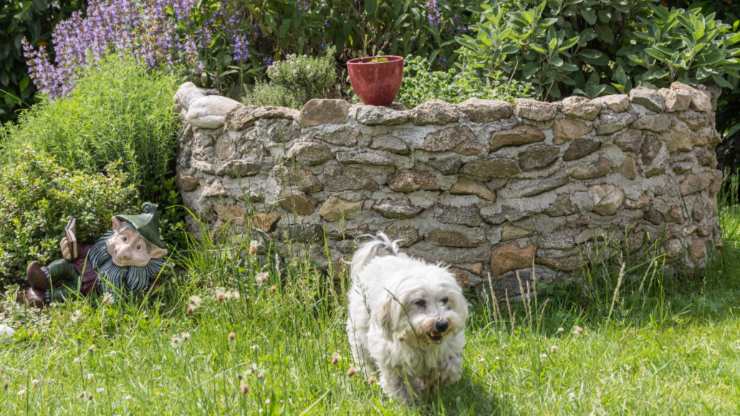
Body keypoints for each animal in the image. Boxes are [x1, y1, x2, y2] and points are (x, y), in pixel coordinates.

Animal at [346, 234, 468, 400]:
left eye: (445, 300)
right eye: (419, 302)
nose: (442, 324)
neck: (421, 342)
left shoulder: (449, 349)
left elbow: (449, 367)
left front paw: (435, 382)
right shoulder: (391, 360)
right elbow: (400, 386)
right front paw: (409, 401)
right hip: (359, 335)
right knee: (365, 359)